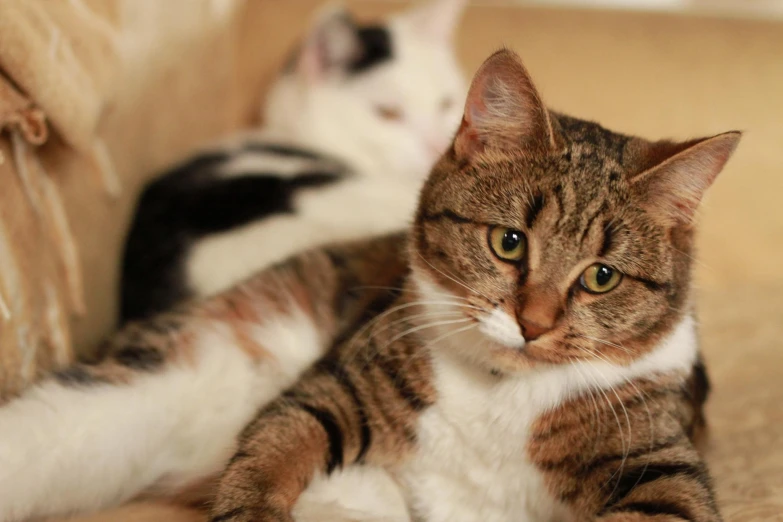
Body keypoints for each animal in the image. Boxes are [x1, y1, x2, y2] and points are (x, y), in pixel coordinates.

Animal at [0, 49, 740, 520]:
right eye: (508, 243)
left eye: (600, 277)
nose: (533, 324)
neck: (500, 393)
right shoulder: (341, 381)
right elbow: (281, 439)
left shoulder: (659, 465)